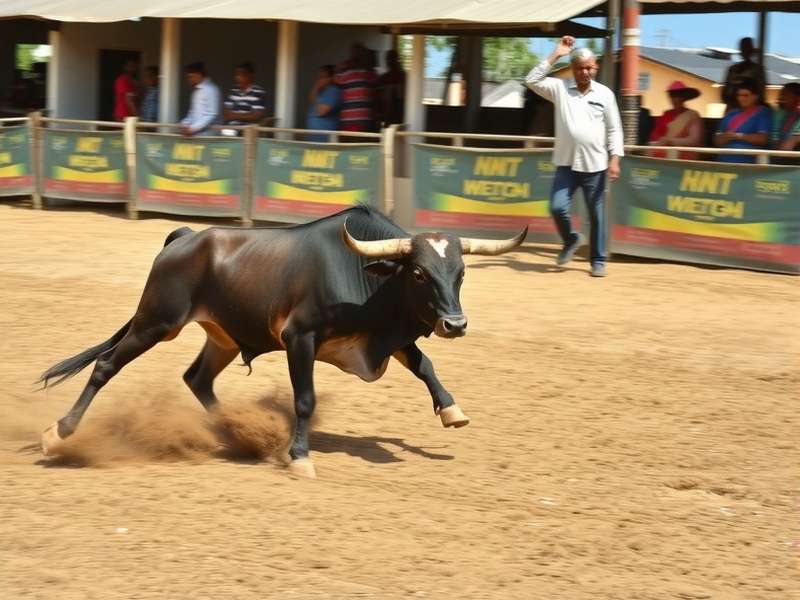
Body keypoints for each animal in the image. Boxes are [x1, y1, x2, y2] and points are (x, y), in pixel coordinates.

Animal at [39, 206, 526, 477]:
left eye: (460, 272)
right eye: (420, 273)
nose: (455, 324)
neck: (361, 277)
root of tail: (185, 239)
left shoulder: (388, 334)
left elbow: (425, 365)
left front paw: (452, 411)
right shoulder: (300, 338)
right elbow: (304, 399)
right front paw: (299, 457)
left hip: (221, 337)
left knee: (197, 379)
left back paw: (236, 432)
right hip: (155, 323)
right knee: (106, 366)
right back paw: (57, 433)